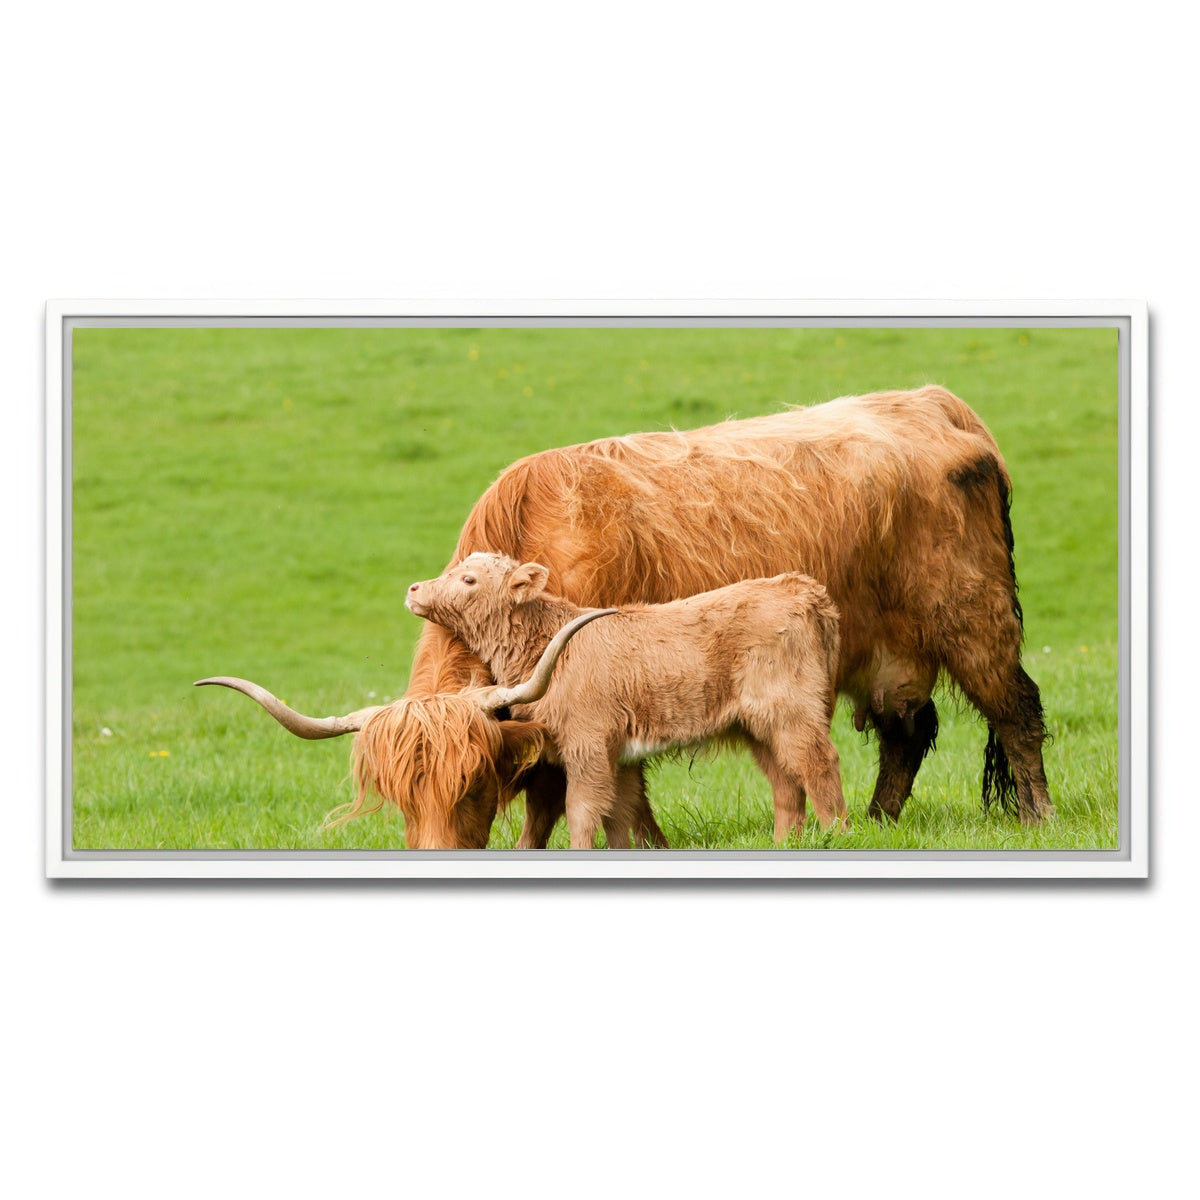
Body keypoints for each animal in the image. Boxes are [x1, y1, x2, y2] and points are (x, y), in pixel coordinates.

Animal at [403, 554, 847, 848]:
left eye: (469, 579)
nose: (414, 588)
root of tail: (803, 588)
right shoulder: (619, 755)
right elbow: (620, 811)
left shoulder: (587, 745)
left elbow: (582, 809)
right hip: (759, 725)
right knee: (785, 779)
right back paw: (785, 843)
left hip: (793, 710)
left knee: (818, 764)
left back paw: (837, 834)